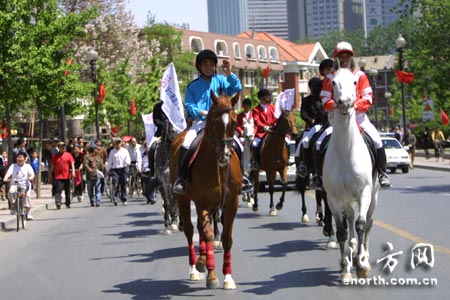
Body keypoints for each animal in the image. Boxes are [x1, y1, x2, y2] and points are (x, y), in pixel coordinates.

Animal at [169, 92, 241, 290]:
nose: (225, 155)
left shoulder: (231, 203)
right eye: (215, 122)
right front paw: (211, 274)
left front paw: (228, 278)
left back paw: (201, 260)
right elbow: (207, 234)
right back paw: (195, 268)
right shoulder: (202, 201)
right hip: (184, 200)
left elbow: (227, 238)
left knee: (202, 228)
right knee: (190, 229)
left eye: (234, 122)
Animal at [324, 67, 380, 282]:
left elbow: (361, 225)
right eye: (333, 82)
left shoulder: (364, 192)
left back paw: (362, 256)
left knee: (368, 223)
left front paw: (362, 265)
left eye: (355, 82)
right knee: (349, 221)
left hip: (374, 195)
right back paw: (351, 255)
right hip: (346, 201)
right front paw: (345, 270)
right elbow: (341, 232)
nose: (345, 102)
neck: (346, 152)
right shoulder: (332, 197)